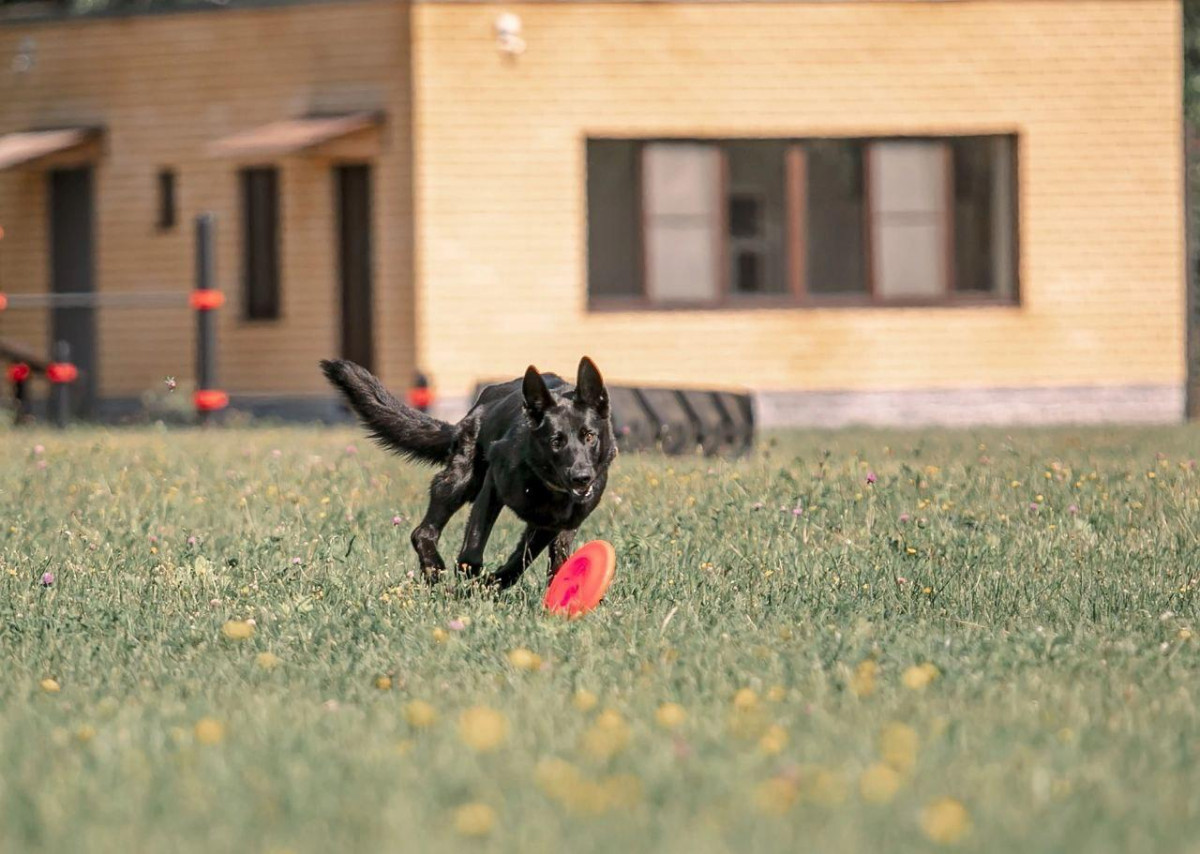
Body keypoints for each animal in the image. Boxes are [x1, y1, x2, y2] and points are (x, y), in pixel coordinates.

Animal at [321, 357, 609, 590]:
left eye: (589, 436)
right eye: (555, 441)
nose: (582, 477)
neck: (543, 482)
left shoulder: (552, 524)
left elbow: (521, 559)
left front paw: (492, 583)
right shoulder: (492, 489)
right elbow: (473, 549)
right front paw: (471, 581)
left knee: (555, 554)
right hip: (460, 482)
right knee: (422, 531)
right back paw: (434, 569)